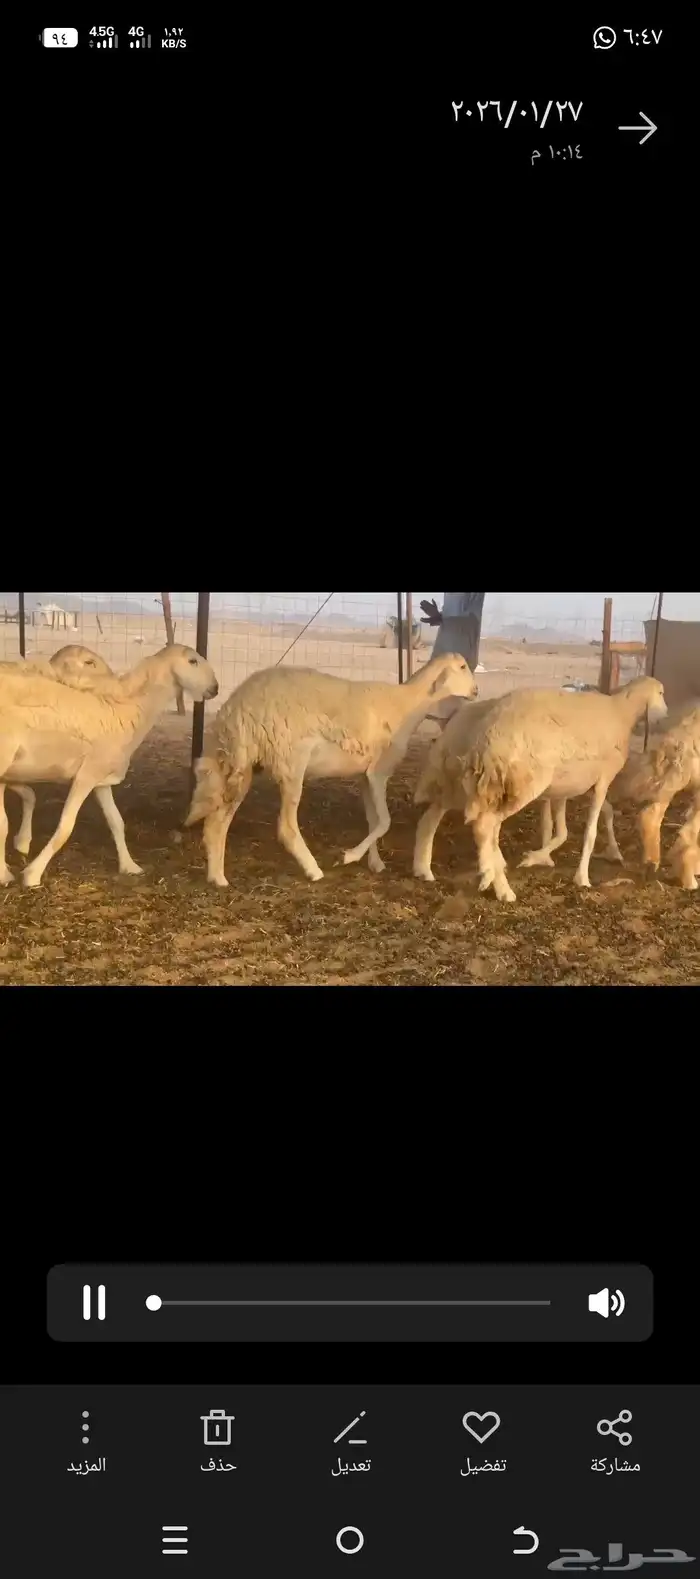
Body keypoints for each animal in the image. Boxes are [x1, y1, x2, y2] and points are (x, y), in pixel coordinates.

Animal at [184, 653, 477, 885]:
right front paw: (348, 856)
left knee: (217, 823)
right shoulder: (379, 772)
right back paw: (313, 870)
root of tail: (235, 708)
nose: (476, 691)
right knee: (286, 826)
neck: (405, 703)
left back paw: (218, 878)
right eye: (462, 666)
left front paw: (375, 863)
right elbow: (385, 821)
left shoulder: (365, 777)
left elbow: (374, 820)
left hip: (242, 765)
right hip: (291, 762)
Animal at [412, 676, 667, 902]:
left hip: (469, 782)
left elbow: (560, 827)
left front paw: (541, 857)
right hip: (518, 783)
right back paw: (496, 883)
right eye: (662, 692)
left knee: (432, 817)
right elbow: (590, 832)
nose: (665, 715)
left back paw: (425, 868)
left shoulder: (564, 788)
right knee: (484, 826)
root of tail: (486, 732)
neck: (621, 710)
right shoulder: (602, 780)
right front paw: (582, 877)